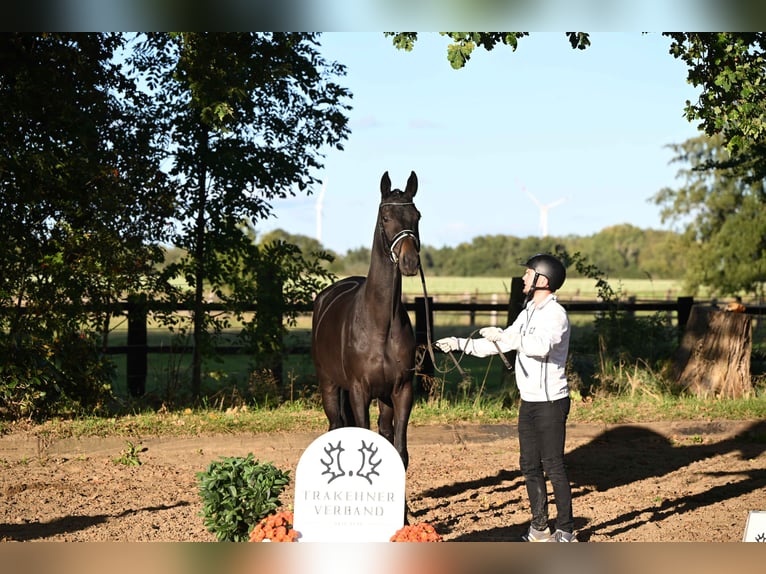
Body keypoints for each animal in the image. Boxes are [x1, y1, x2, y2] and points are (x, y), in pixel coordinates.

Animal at [310, 170, 424, 468]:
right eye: (385, 217)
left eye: (417, 216)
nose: (409, 262)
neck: (380, 326)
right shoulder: (359, 391)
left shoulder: (401, 391)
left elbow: (399, 451)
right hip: (329, 385)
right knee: (335, 424)